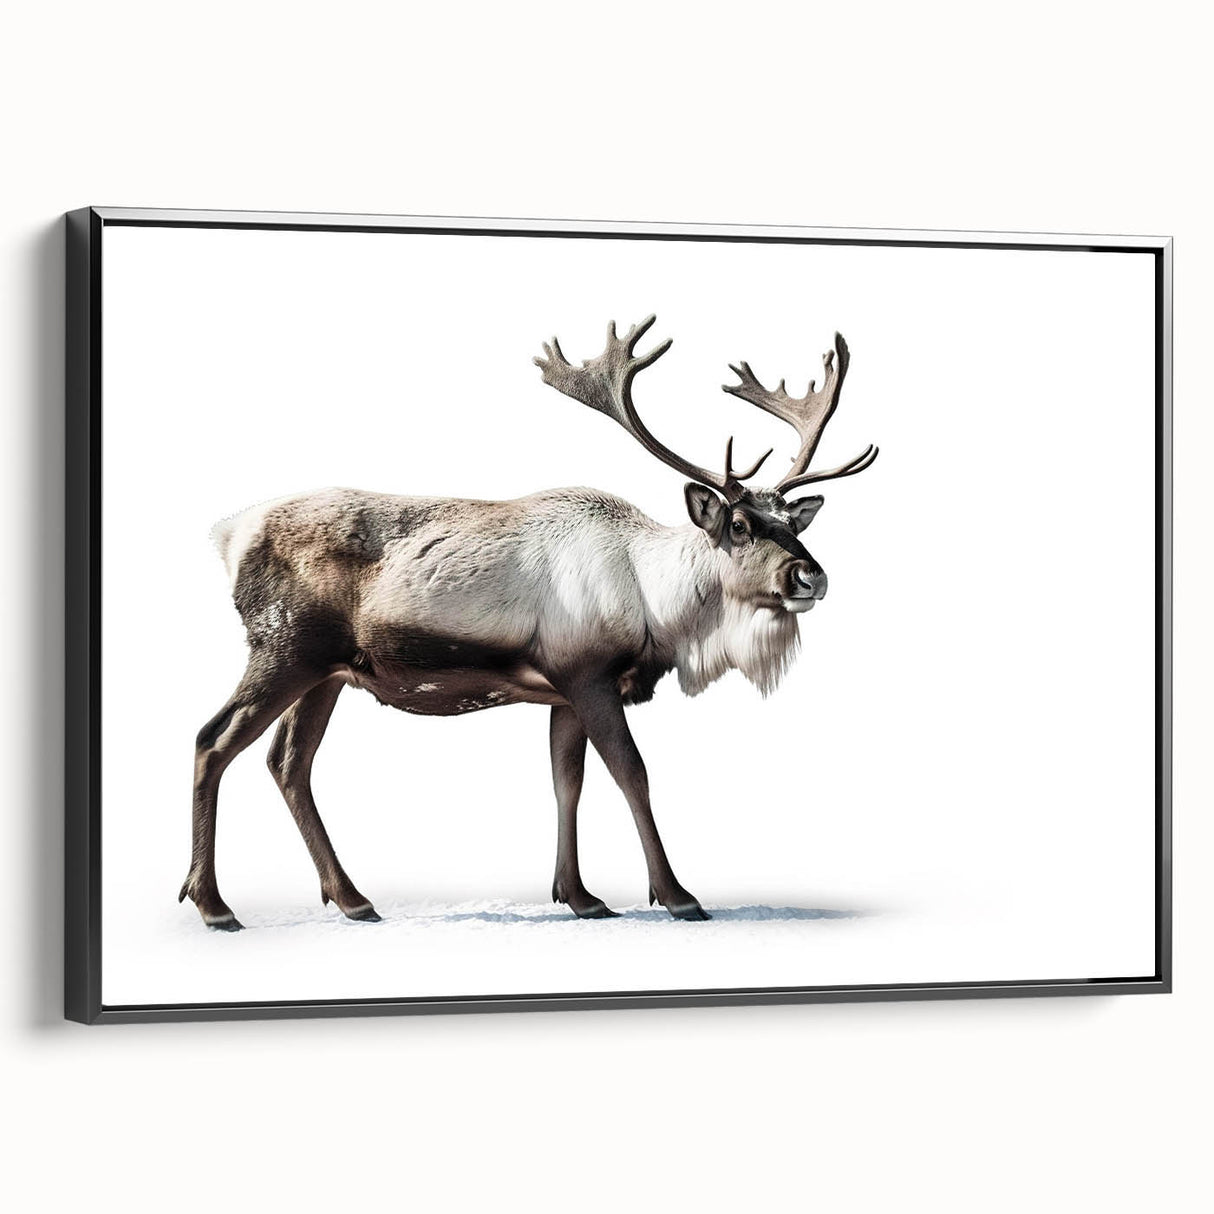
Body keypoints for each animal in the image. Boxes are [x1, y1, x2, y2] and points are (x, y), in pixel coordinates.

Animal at [181, 316, 878, 929]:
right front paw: (678, 895)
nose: (810, 577)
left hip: (327, 673)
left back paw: (352, 899)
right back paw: (215, 905)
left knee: (288, 762)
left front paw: (581, 896)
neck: (655, 606)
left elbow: (566, 781)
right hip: (283, 648)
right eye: (738, 524)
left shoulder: (562, 692)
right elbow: (633, 774)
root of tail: (228, 534)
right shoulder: (589, 676)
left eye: (792, 522)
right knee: (213, 740)